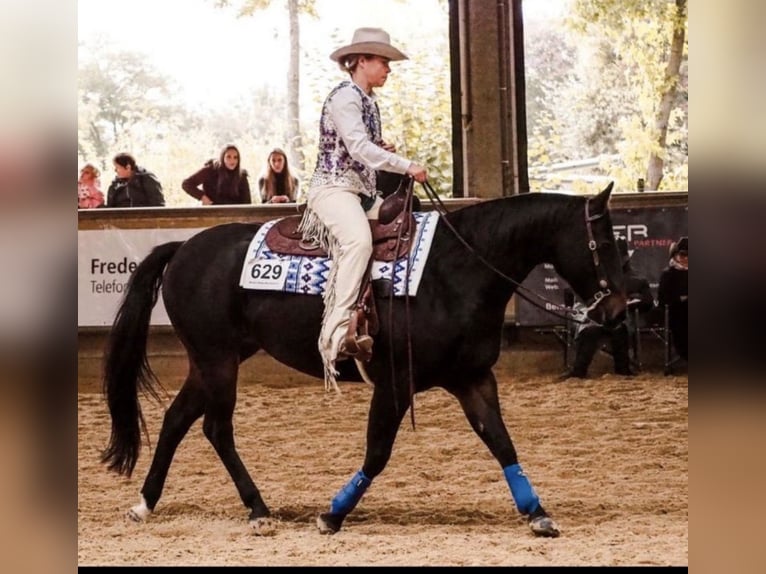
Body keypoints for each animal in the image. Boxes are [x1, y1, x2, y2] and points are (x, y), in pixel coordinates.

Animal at [101, 182, 626, 538]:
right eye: (604, 243)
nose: (619, 311)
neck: (457, 269)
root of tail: (183, 248)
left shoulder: (473, 378)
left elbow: (501, 442)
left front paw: (537, 513)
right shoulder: (395, 382)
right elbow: (378, 452)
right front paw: (332, 513)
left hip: (213, 359)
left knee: (177, 420)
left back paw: (146, 503)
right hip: (217, 360)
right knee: (215, 428)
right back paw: (257, 509)